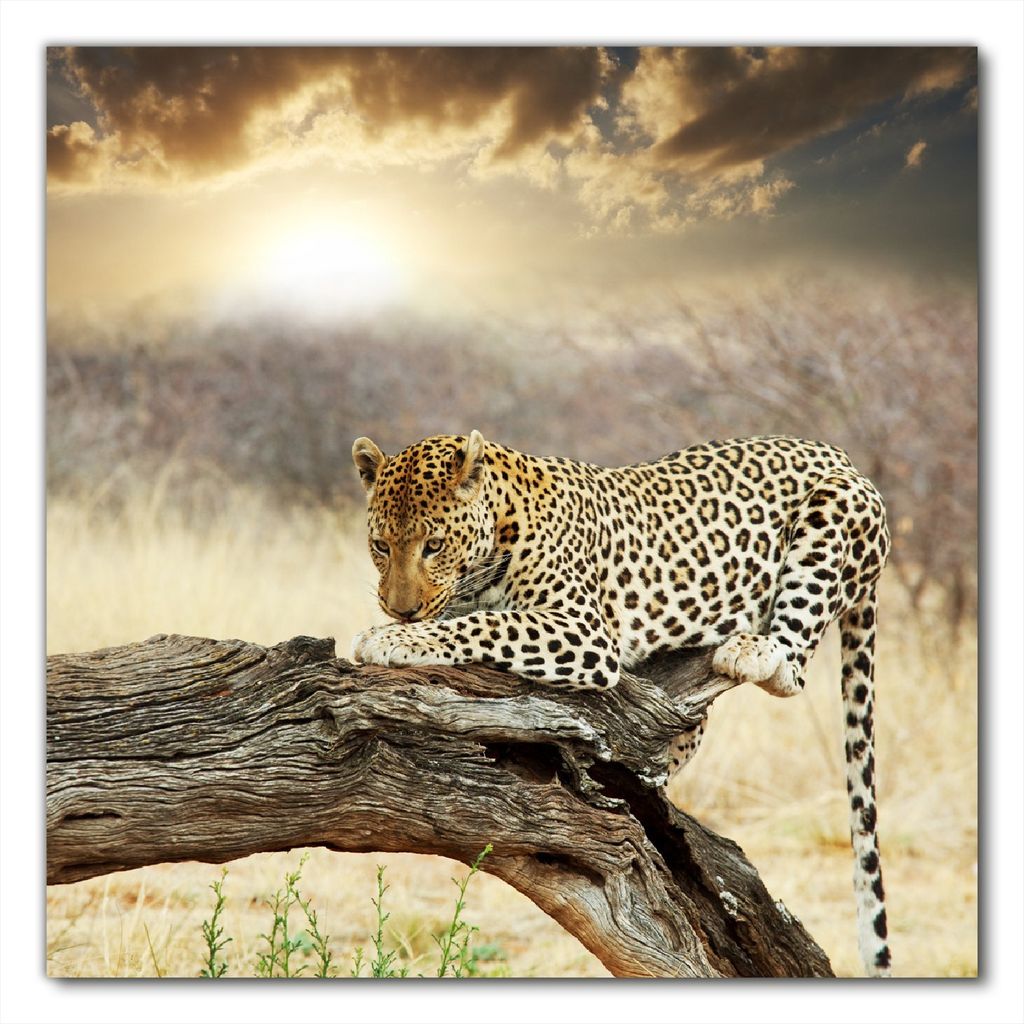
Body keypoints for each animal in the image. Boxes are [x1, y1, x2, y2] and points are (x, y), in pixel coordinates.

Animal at [350, 430, 892, 977]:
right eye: (381, 546)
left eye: (434, 545)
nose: (400, 609)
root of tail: (838, 454)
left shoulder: (582, 629)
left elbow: (485, 624)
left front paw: (392, 638)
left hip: (834, 511)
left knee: (791, 667)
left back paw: (752, 650)